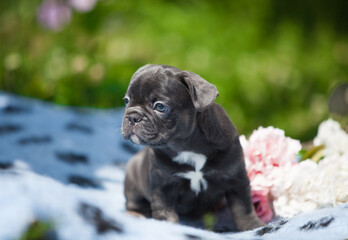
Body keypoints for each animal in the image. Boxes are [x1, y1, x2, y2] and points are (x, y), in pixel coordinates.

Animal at [121, 63, 262, 231]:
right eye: (126, 101)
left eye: (160, 106)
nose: (132, 116)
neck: (187, 146)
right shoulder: (162, 187)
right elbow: (165, 212)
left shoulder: (236, 179)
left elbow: (243, 207)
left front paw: (252, 226)